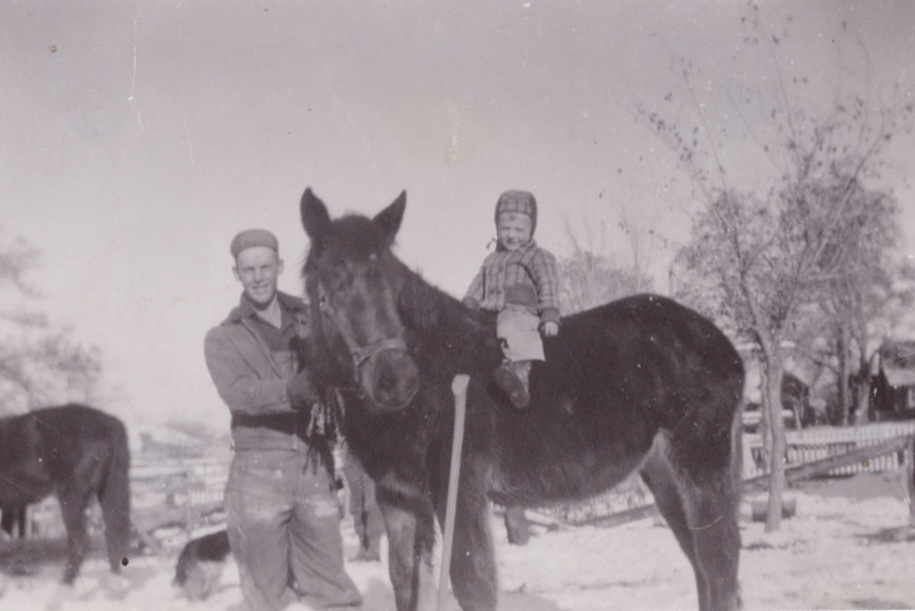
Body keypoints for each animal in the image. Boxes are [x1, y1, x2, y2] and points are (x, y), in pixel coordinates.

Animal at [0, 404, 131, 587]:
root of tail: (111, 424)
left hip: (72, 495)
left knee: (80, 540)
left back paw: (65, 585)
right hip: (106, 491)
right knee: (113, 536)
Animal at [299, 188, 745, 611]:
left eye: (392, 285)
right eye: (328, 287)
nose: (396, 380)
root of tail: (722, 346)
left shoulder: (461, 489)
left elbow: (472, 585)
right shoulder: (400, 500)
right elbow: (406, 584)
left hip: (700, 466)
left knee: (718, 565)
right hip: (664, 474)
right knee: (705, 567)